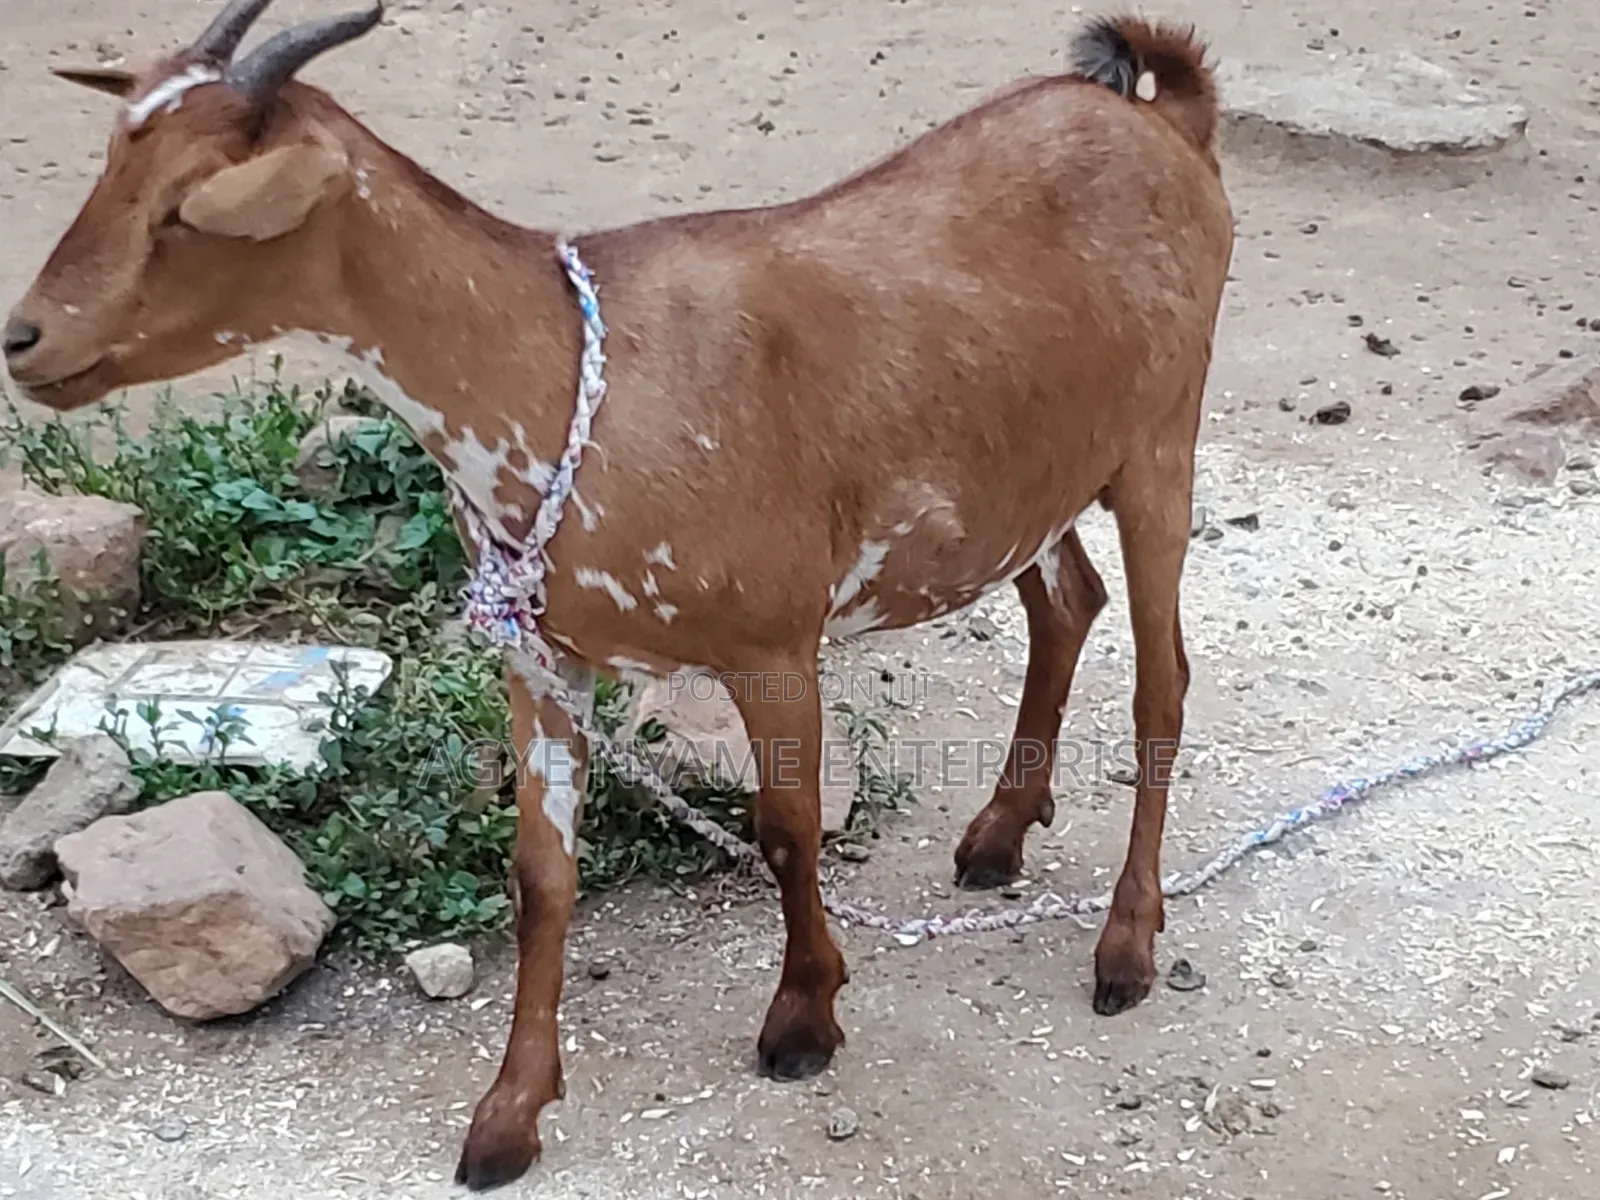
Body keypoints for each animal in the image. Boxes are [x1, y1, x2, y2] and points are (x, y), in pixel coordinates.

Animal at [4, 0, 1234, 1189]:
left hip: (1161, 440)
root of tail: (1166, 117)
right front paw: (508, 1116)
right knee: (1065, 602)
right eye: (111, 160)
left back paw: (1125, 947)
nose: (23, 338)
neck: (561, 385)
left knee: (1163, 683)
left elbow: (785, 831)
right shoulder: (542, 656)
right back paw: (997, 835)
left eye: (189, 206)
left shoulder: (772, 639)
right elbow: (542, 875)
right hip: (1030, 471)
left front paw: (803, 1020)